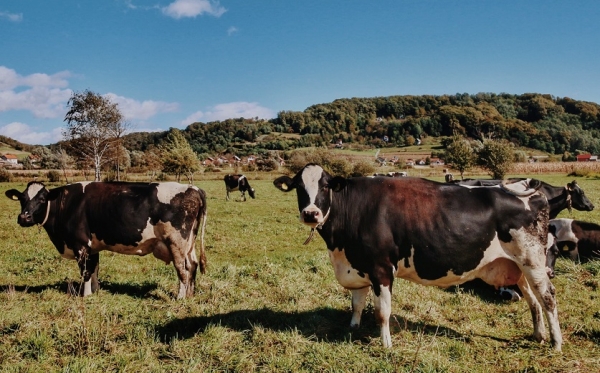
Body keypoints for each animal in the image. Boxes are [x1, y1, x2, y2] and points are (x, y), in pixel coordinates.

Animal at [4, 179, 209, 298]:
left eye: (42, 199)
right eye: (22, 198)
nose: (24, 217)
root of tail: (194, 188)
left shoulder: (80, 245)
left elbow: (85, 271)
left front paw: (85, 296)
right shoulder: (92, 246)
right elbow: (94, 268)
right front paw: (95, 291)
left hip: (177, 242)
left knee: (182, 270)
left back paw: (180, 297)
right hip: (189, 243)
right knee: (192, 265)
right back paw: (190, 295)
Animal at [276, 164, 564, 350]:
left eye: (325, 186)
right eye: (298, 187)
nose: (310, 213)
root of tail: (526, 187)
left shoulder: (381, 269)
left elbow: (382, 312)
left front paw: (386, 345)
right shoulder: (359, 267)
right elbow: (357, 304)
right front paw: (352, 328)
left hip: (533, 260)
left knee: (547, 298)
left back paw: (555, 342)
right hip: (518, 266)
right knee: (534, 300)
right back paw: (538, 334)